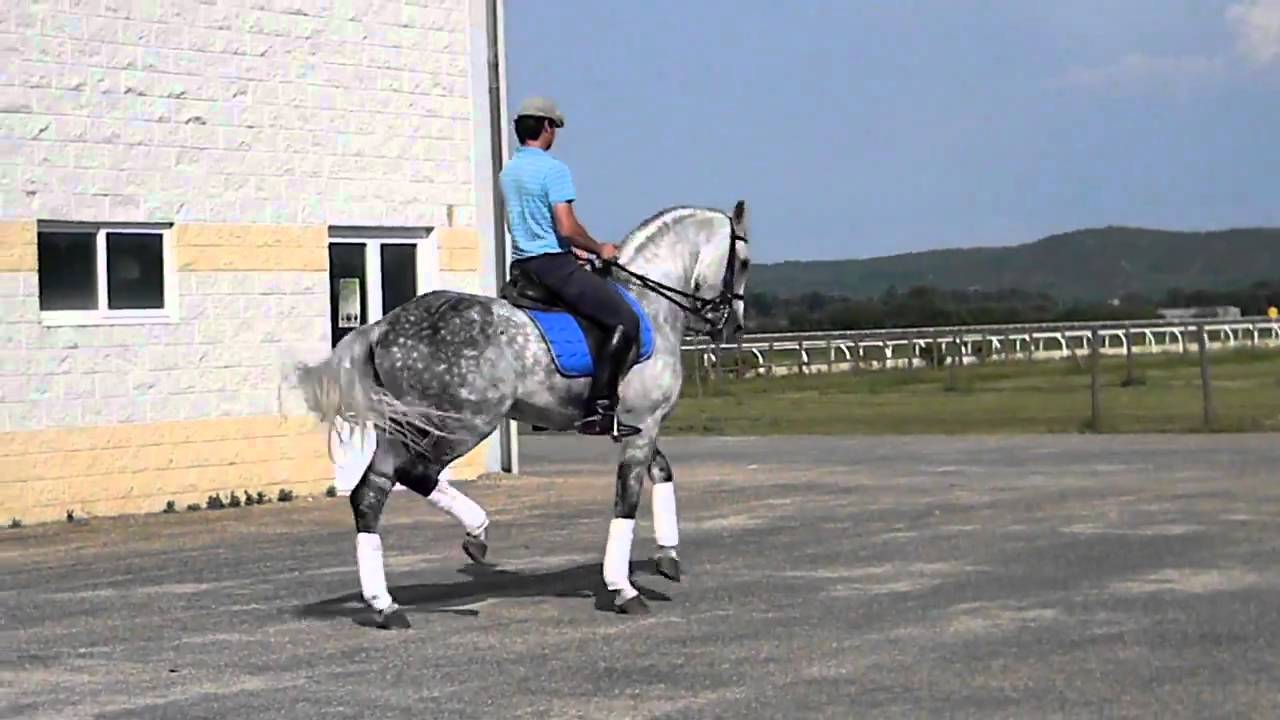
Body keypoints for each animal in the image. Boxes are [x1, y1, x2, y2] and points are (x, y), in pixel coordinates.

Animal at [295, 201, 752, 628]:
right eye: (744, 263)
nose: (731, 327)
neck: (651, 305)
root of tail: (383, 327)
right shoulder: (645, 424)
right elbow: (627, 500)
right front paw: (624, 589)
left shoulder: (635, 425)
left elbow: (663, 472)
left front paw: (667, 556)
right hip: (463, 423)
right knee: (416, 475)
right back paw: (476, 533)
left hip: (402, 428)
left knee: (369, 495)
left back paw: (385, 605)